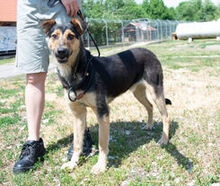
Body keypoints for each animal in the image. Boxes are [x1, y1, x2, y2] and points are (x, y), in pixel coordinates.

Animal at [41, 18, 172, 174]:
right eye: (54, 36)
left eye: (71, 36)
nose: (61, 51)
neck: (76, 72)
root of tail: (150, 52)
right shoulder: (78, 114)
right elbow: (77, 142)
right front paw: (73, 163)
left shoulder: (102, 112)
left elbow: (102, 143)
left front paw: (101, 166)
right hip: (138, 92)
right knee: (150, 106)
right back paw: (149, 125)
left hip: (156, 91)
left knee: (165, 116)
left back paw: (164, 139)